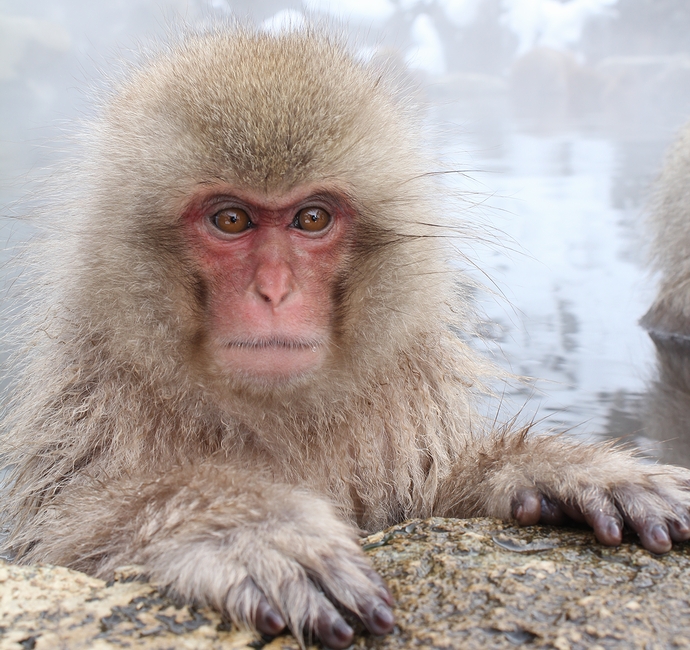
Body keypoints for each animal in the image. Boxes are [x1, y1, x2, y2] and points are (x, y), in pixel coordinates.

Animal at [4, 25, 688, 648]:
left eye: (312, 218)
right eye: (232, 219)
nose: (274, 292)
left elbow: (424, 498)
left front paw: (557, 471)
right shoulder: (88, 411)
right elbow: (54, 538)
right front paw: (242, 528)